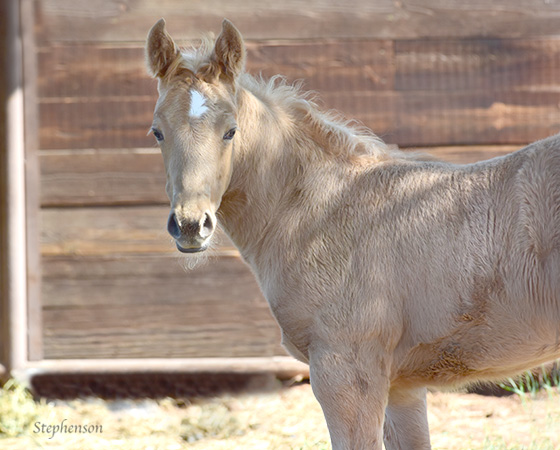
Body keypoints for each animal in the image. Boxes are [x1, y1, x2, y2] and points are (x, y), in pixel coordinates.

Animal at [147, 18, 560, 450]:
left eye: (230, 131)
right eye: (157, 132)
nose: (190, 225)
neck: (322, 212)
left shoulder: (345, 373)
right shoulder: (402, 388)